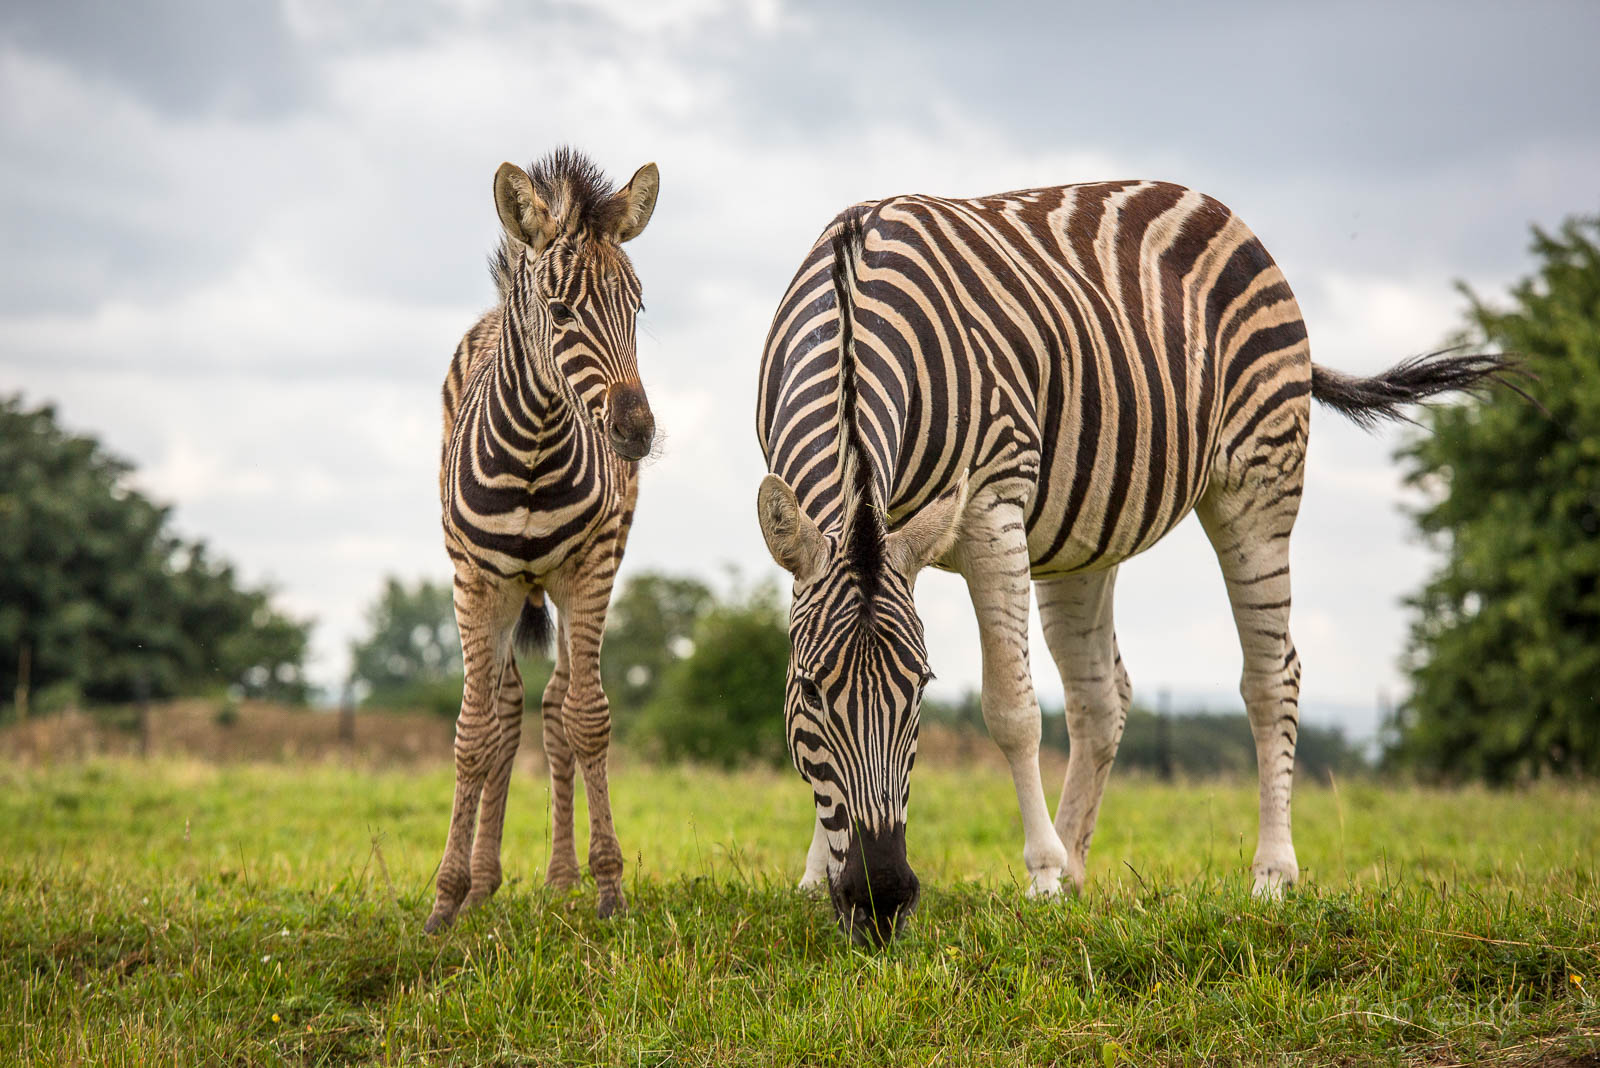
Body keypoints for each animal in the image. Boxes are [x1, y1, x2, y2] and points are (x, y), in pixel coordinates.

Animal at [424, 148, 660, 933]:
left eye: (637, 307)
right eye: (560, 313)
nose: (636, 433)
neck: (530, 448)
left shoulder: (589, 569)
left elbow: (587, 719)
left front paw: (609, 887)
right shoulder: (475, 581)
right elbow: (473, 734)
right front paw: (444, 898)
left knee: (555, 706)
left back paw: (560, 880)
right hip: (498, 588)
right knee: (505, 711)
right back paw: (480, 884)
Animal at [755, 184, 1511, 945]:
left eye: (920, 691)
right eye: (810, 691)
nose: (880, 900)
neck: (853, 301)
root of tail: (1214, 205)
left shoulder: (991, 508)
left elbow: (1011, 710)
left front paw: (1041, 871)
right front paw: (816, 877)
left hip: (1260, 482)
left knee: (1273, 678)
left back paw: (1268, 877)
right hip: (1084, 533)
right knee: (1102, 697)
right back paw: (1073, 872)